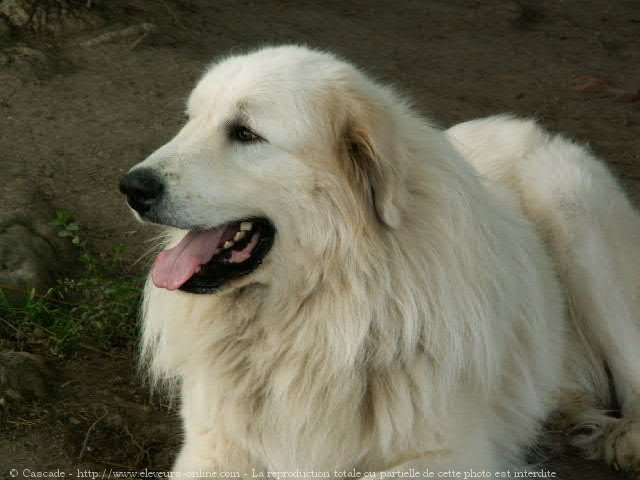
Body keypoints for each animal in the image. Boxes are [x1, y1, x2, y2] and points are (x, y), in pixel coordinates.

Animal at [120, 45, 640, 476]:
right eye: (190, 120)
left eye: (245, 133)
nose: (131, 187)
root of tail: (527, 127)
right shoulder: (212, 448)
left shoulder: (450, 456)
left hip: (568, 203)